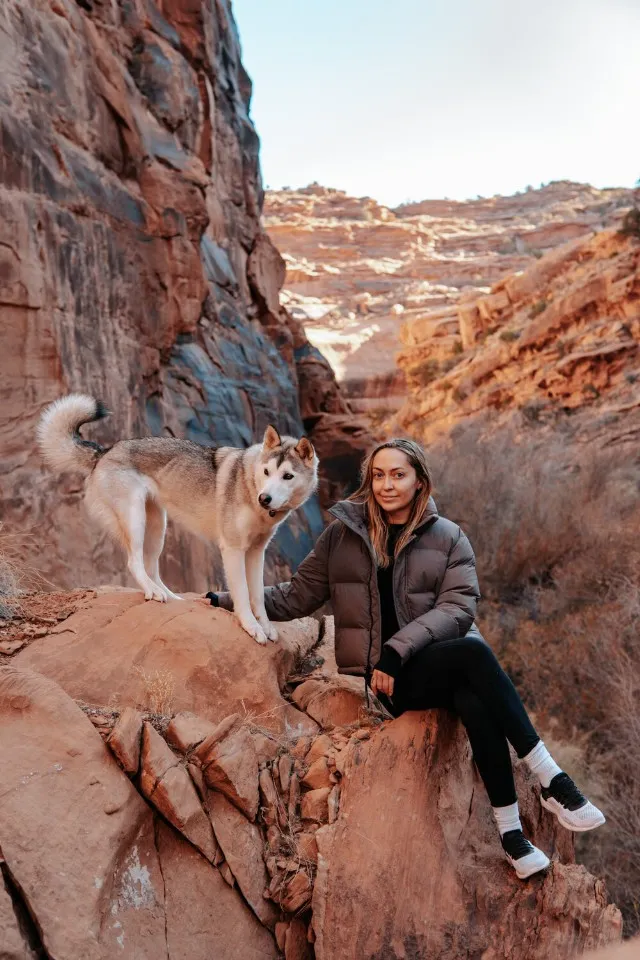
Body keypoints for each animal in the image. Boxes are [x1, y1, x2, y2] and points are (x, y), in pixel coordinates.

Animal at [36, 390, 318, 644]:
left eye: (288, 476)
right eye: (267, 472)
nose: (264, 498)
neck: (249, 483)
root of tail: (104, 451)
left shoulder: (256, 552)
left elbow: (258, 595)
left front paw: (266, 627)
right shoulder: (233, 549)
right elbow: (242, 594)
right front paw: (252, 627)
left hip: (157, 527)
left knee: (151, 567)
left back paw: (171, 597)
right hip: (135, 519)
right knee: (134, 562)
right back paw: (152, 592)